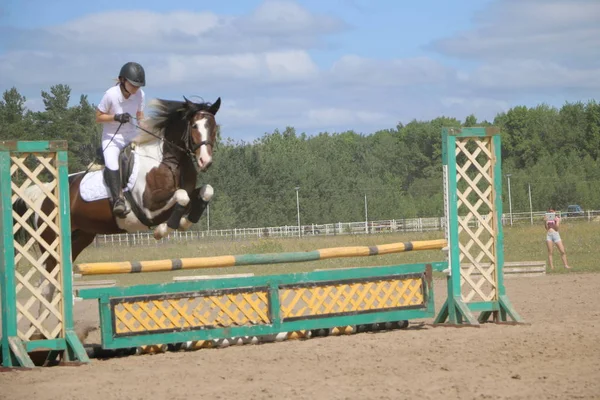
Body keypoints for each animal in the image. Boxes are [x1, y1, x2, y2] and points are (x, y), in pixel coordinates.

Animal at [13, 96, 220, 328]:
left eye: (213, 128)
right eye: (194, 126)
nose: (205, 161)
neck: (169, 162)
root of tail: (44, 191)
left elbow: (205, 191)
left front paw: (187, 220)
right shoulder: (149, 207)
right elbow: (182, 197)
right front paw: (164, 229)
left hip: (80, 238)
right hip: (50, 242)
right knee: (46, 282)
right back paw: (41, 327)